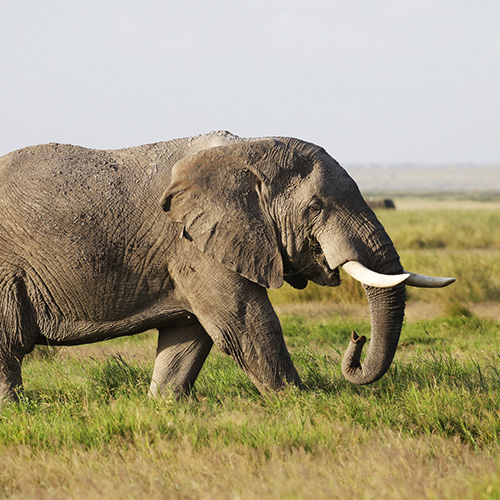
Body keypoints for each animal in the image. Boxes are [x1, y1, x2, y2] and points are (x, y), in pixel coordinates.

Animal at [0, 130, 454, 402]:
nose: (356, 339)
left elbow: (188, 338)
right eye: (316, 207)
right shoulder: (193, 245)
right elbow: (245, 324)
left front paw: (164, 406)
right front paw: (302, 404)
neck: (247, 149)